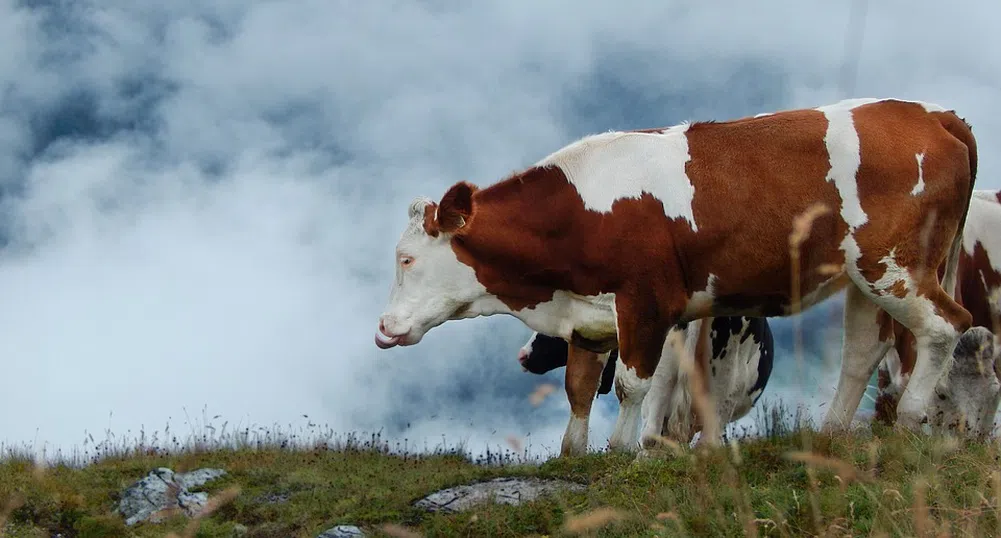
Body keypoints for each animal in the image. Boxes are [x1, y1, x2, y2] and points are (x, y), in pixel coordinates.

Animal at [376, 97, 976, 452]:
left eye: (406, 259)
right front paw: (575, 458)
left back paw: (911, 419)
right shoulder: (590, 316)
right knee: (863, 352)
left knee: (945, 326)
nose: (383, 328)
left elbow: (631, 385)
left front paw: (620, 454)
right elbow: (578, 390)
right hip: (865, 277)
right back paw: (831, 437)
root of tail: (931, 113)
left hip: (894, 267)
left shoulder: (647, 302)